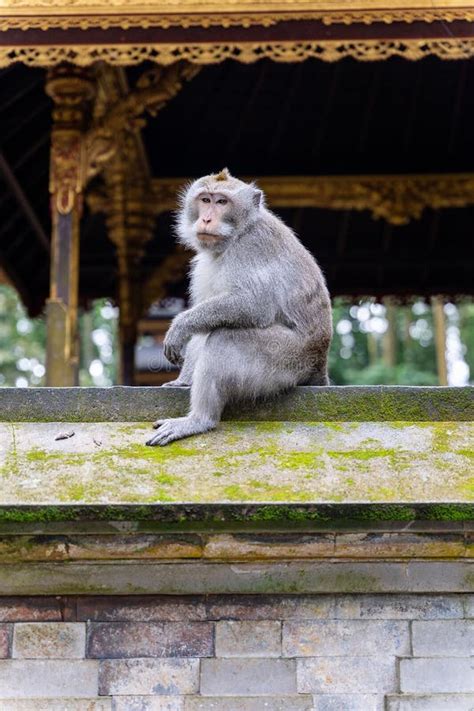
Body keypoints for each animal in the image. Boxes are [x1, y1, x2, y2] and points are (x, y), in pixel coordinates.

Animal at [146, 168, 332, 447]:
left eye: (222, 202)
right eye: (205, 200)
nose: (207, 219)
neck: (236, 234)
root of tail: (319, 360)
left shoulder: (252, 246)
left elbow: (254, 304)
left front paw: (179, 326)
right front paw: (182, 380)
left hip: (288, 359)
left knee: (224, 337)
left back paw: (200, 420)